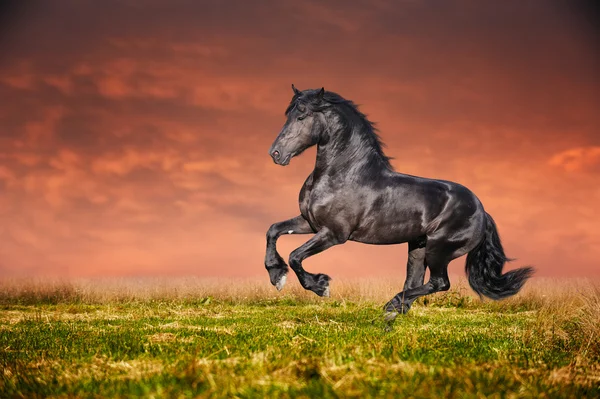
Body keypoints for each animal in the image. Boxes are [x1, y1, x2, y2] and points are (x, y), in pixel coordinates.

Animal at [264, 85, 532, 318]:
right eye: (289, 114)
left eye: (302, 115)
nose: (275, 154)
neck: (343, 174)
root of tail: (482, 212)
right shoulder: (309, 223)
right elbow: (273, 230)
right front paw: (276, 275)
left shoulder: (334, 234)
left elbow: (295, 255)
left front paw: (321, 286)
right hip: (418, 247)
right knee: (416, 281)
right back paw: (395, 308)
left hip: (439, 249)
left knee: (439, 283)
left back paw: (391, 304)